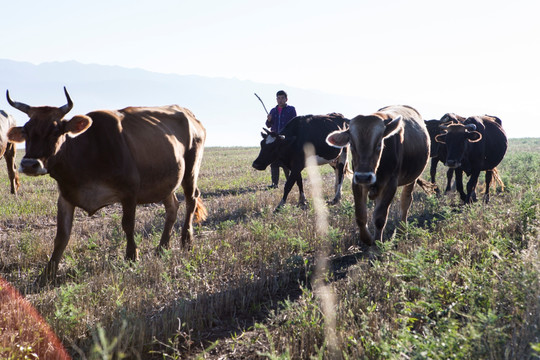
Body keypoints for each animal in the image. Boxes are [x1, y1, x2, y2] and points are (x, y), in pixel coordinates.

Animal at [7, 88, 208, 284]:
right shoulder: (65, 196)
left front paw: (132, 256)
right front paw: (47, 273)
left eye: (55, 131)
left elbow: (128, 224)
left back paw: (186, 240)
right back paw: (162, 247)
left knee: (191, 200)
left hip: (191, 171)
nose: (29, 164)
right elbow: (61, 235)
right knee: (173, 207)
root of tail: (189, 114)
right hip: (166, 180)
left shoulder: (130, 191)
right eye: (26, 131)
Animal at [324, 104, 430, 245]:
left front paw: (377, 244)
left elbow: (380, 218)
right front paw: (368, 239)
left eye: (379, 144)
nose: (364, 176)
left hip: (412, 179)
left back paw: (402, 231)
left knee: (405, 202)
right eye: (351, 145)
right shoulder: (357, 182)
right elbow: (360, 216)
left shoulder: (390, 184)